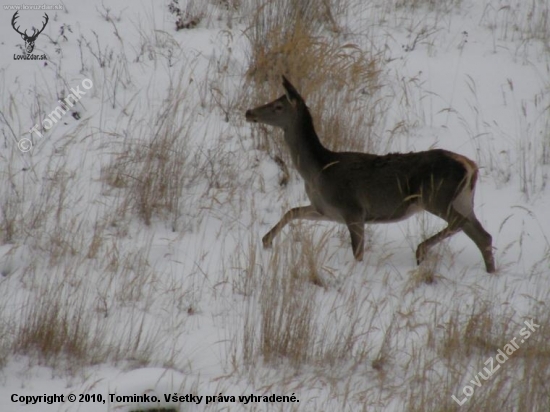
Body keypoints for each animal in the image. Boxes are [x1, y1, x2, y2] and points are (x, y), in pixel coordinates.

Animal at [248, 76, 498, 274]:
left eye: (278, 106)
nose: (249, 112)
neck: (318, 170)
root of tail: (470, 166)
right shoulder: (325, 209)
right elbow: (293, 211)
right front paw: (266, 240)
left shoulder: (352, 209)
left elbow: (358, 252)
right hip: (463, 199)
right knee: (482, 235)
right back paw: (490, 272)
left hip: (437, 196)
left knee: (462, 225)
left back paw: (421, 250)